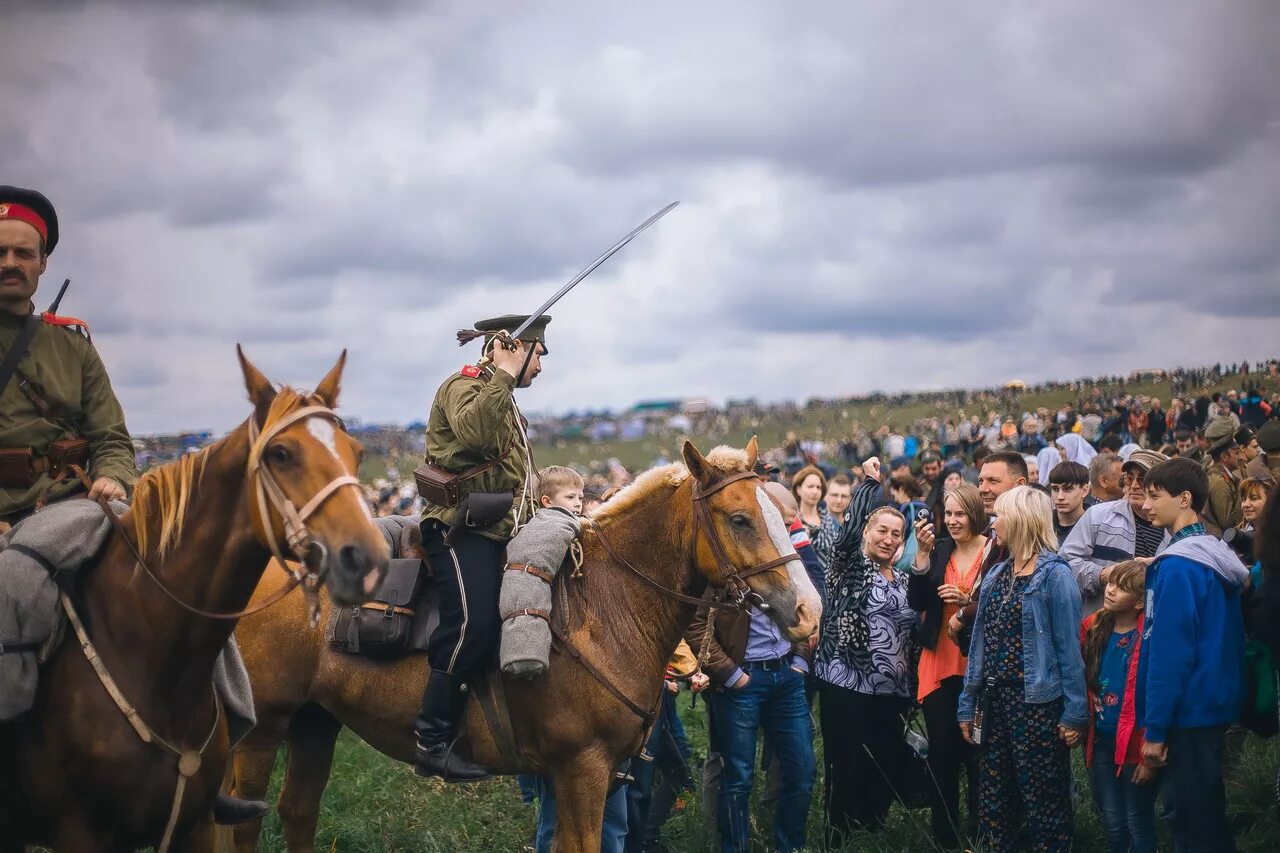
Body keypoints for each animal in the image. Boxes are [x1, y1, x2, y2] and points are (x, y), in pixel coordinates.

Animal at [0, 348, 389, 845]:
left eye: (357, 453)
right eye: (281, 454)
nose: (369, 558)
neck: (152, 659)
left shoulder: (198, 824)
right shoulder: (80, 836)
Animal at [230, 438, 819, 850]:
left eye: (777, 511)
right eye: (739, 519)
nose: (810, 612)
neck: (608, 605)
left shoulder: (583, 777)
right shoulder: (583, 769)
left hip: (314, 721)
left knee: (298, 814)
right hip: (262, 731)